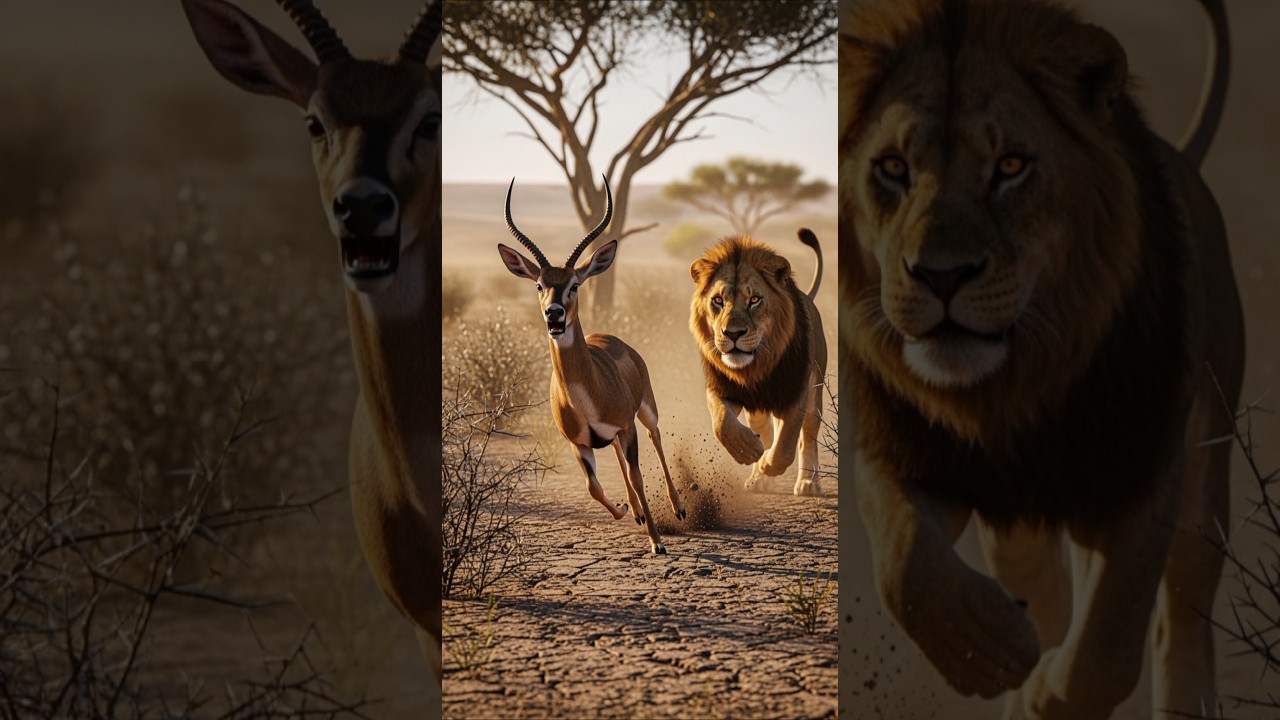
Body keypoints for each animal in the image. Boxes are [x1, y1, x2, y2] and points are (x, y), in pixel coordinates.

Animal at [498, 178, 687, 555]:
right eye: (539, 285)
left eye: (574, 284)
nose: (554, 314)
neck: (585, 396)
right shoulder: (578, 443)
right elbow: (593, 487)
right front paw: (626, 510)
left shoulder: (626, 427)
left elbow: (638, 477)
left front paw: (657, 542)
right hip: (612, 436)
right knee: (616, 456)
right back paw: (637, 513)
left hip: (646, 411)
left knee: (656, 438)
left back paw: (679, 508)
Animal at [690, 229, 828, 496]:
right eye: (718, 300)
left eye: (754, 299)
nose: (732, 333)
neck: (756, 367)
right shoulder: (722, 387)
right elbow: (723, 424)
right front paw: (749, 451)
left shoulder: (795, 391)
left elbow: (785, 445)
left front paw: (767, 463)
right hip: (756, 409)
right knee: (764, 430)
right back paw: (758, 477)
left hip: (815, 392)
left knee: (808, 435)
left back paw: (807, 482)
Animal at [840, 0, 1241, 717]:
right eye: (891, 168)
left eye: (1011, 166)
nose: (941, 276)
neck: (1015, 390)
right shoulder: (912, 451)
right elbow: (908, 566)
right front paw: (986, 648)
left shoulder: (1141, 471)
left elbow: (1104, 651)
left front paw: (1041, 691)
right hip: (1017, 527)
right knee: (1048, 595)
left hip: (1204, 470)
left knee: (1181, 618)